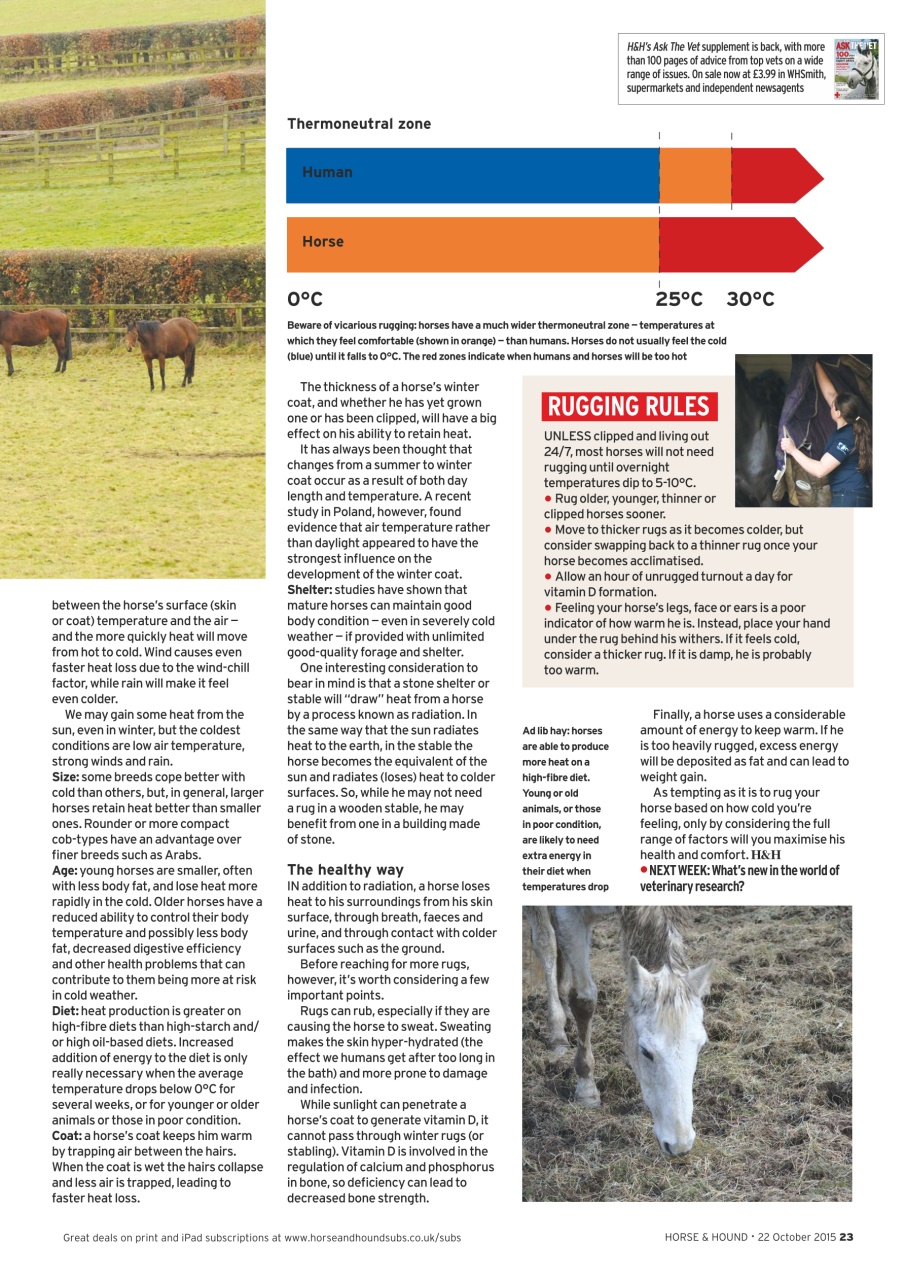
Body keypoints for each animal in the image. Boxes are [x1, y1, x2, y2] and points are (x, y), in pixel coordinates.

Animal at [525, 905, 713, 1156]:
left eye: (701, 1046)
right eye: (645, 1052)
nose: (679, 1145)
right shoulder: (570, 914)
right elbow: (584, 1000)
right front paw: (586, 1089)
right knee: (546, 943)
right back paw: (557, 1031)